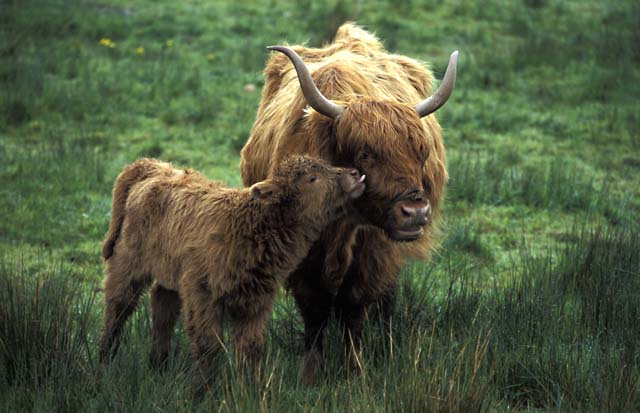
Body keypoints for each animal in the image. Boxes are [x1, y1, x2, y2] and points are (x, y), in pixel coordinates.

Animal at [96, 154, 364, 376]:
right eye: (312, 178)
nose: (354, 174)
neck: (250, 225)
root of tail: (152, 167)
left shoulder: (256, 301)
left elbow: (251, 348)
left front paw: (250, 392)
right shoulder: (202, 295)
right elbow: (208, 346)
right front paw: (200, 394)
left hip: (168, 272)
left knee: (163, 309)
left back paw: (158, 364)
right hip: (127, 263)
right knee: (118, 306)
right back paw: (104, 360)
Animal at [239, 23, 456, 384]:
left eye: (421, 152)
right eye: (366, 154)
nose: (415, 212)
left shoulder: (374, 250)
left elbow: (354, 309)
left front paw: (356, 371)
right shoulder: (299, 255)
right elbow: (314, 311)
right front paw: (311, 373)